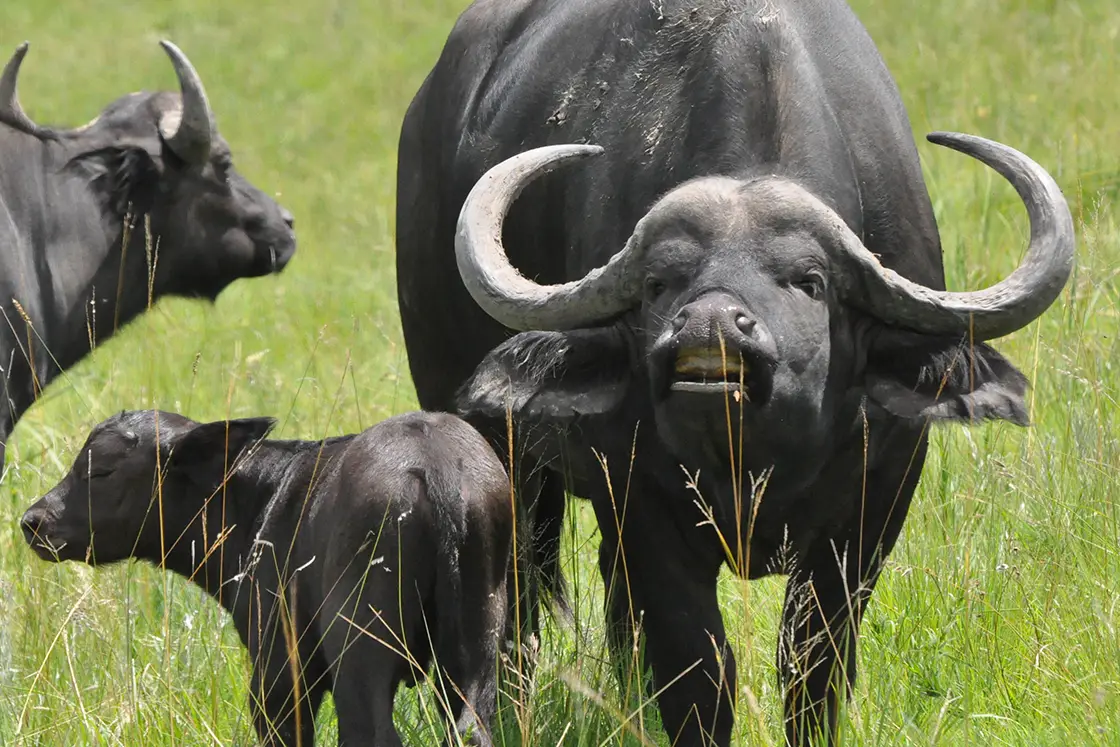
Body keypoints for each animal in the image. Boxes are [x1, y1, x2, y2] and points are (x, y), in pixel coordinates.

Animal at [21, 409, 512, 747]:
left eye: (100, 470)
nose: (32, 522)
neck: (257, 501)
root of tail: (437, 470)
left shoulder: (278, 676)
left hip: (358, 648)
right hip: (477, 643)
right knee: (471, 730)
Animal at [392, 2, 1066, 743]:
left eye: (810, 281)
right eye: (659, 282)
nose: (708, 326)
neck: (754, 459)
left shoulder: (875, 503)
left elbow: (813, 661)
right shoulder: (645, 506)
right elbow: (698, 668)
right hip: (496, 454)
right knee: (513, 612)